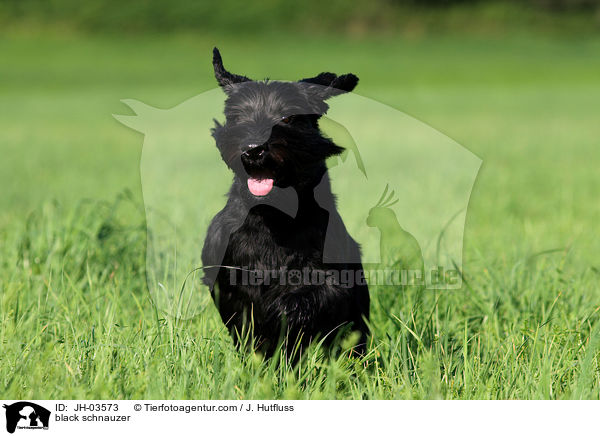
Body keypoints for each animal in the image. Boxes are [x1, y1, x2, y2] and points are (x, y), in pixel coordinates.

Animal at [204, 48, 368, 362]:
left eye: (287, 117)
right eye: (236, 115)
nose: (253, 149)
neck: (273, 216)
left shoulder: (330, 279)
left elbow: (303, 299)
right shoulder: (226, 278)